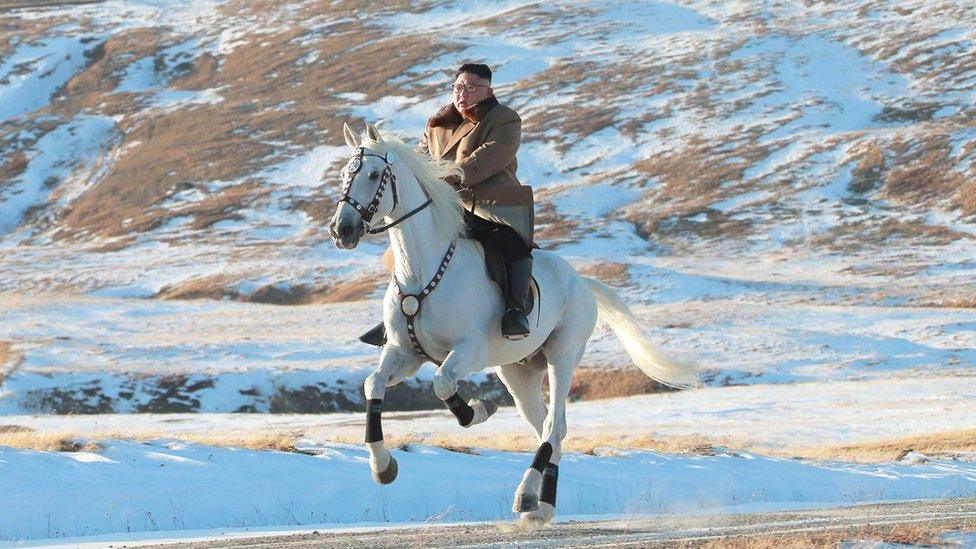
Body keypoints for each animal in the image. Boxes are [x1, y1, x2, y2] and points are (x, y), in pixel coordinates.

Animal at [332, 122, 696, 524]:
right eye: (345, 174)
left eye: (374, 174)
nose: (342, 230)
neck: (422, 271)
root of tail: (582, 281)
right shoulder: (404, 353)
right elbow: (373, 384)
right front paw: (382, 466)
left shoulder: (469, 351)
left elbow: (443, 383)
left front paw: (478, 410)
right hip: (518, 373)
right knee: (549, 429)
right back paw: (542, 504)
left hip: (562, 356)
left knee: (553, 426)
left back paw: (526, 496)